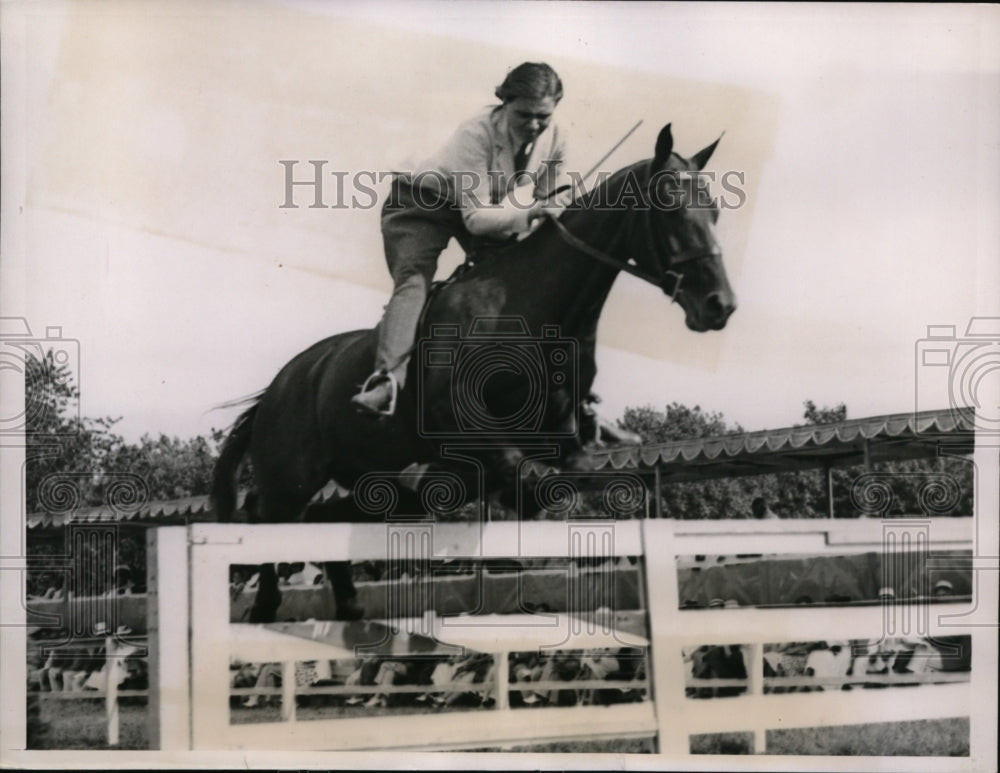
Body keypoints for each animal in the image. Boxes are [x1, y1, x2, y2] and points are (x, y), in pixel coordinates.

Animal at [213, 126, 736, 620]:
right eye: (670, 207)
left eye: (714, 210)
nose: (720, 306)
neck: (538, 311)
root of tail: (279, 385)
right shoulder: (462, 426)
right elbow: (519, 472)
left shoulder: (562, 439)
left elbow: (559, 479)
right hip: (290, 479)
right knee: (265, 517)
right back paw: (266, 605)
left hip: (360, 479)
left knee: (325, 520)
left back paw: (348, 605)